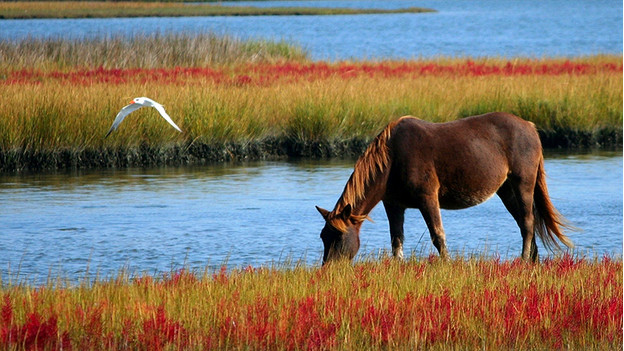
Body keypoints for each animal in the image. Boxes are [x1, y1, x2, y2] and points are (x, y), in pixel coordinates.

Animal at [316, 113, 576, 264]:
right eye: (323, 236)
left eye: (338, 237)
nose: (329, 269)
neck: (392, 158)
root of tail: (530, 127)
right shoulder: (393, 204)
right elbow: (396, 240)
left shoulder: (427, 198)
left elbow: (438, 235)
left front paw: (447, 264)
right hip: (506, 190)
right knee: (524, 222)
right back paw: (532, 260)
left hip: (523, 183)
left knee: (528, 223)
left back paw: (523, 260)